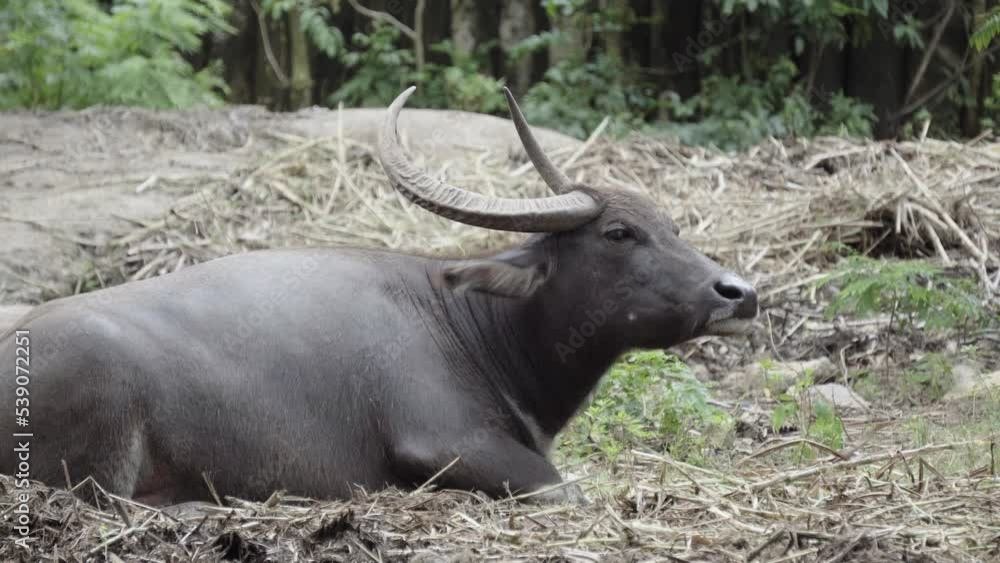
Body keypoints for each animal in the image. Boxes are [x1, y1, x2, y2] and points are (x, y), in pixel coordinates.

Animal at [0, 87, 757, 507]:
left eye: (673, 225)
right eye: (619, 232)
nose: (739, 293)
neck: (468, 324)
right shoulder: (448, 444)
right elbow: (568, 487)